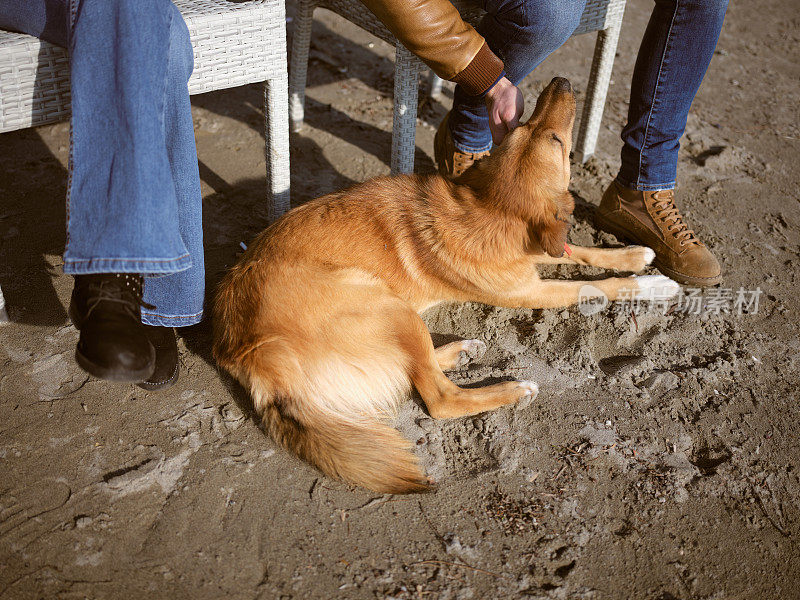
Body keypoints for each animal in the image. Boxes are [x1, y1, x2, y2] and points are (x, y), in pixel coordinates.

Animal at [211, 77, 676, 494]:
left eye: (523, 126)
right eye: (558, 141)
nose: (560, 80)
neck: (489, 209)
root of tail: (249, 356)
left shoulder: (538, 251)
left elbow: (580, 251)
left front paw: (634, 255)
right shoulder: (529, 288)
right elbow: (596, 289)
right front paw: (649, 285)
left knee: (413, 370)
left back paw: (459, 350)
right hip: (387, 305)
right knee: (438, 397)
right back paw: (511, 389)